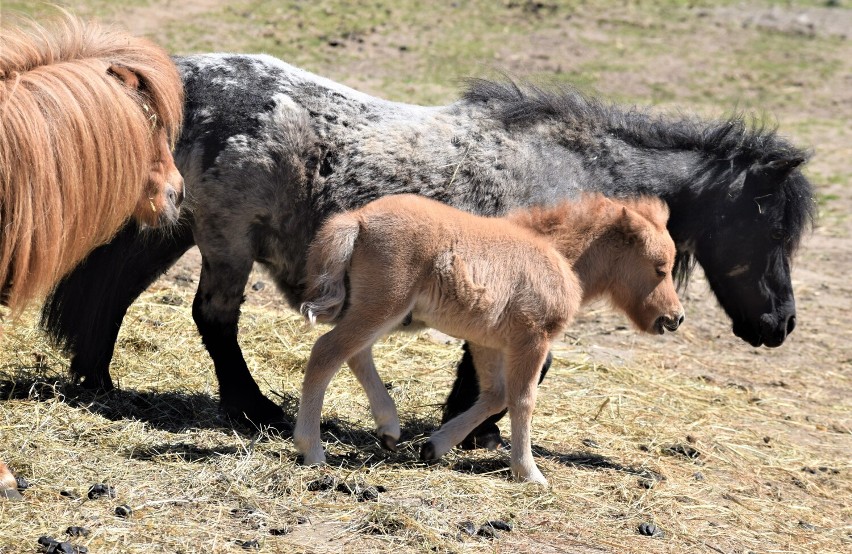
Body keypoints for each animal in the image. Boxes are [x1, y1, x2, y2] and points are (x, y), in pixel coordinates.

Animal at [292, 193, 684, 484]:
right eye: (660, 267)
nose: (675, 318)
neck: (559, 253)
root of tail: (357, 218)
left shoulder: (488, 341)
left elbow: (495, 395)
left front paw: (435, 446)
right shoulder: (533, 338)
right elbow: (523, 400)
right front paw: (529, 472)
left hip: (381, 309)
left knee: (357, 353)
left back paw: (389, 427)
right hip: (384, 303)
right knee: (328, 351)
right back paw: (312, 450)